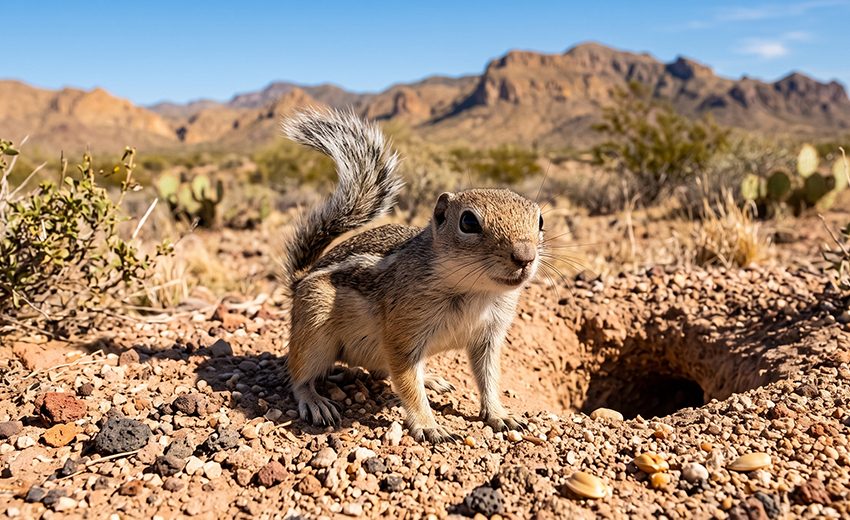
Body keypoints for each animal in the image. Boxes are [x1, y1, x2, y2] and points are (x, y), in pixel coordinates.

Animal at [281, 109, 543, 442]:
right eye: (468, 222)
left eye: (540, 220)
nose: (525, 256)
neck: (477, 291)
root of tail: (300, 279)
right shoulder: (403, 331)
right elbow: (407, 381)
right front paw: (429, 425)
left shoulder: (489, 336)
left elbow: (489, 378)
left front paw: (499, 414)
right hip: (314, 323)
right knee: (300, 375)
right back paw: (315, 401)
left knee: (382, 371)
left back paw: (431, 378)